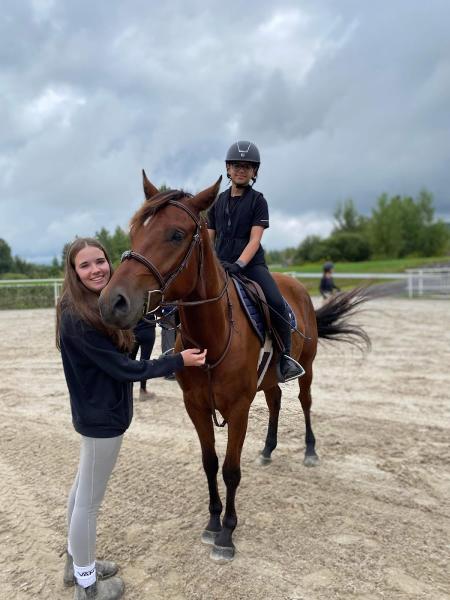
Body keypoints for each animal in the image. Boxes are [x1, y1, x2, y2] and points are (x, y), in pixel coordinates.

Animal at [100, 172, 370, 564]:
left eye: (176, 234)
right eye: (135, 231)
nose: (112, 302)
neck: (213, 334)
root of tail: (294, 285)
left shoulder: (238, 408)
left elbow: (230, 470)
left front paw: (227, 534)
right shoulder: (196, 406)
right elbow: (210, 462)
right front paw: (213, 522)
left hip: (308, 367)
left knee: (304, 403)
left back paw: (309, 451)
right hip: (269, 379)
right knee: (275, 402)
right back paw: (268, 450)